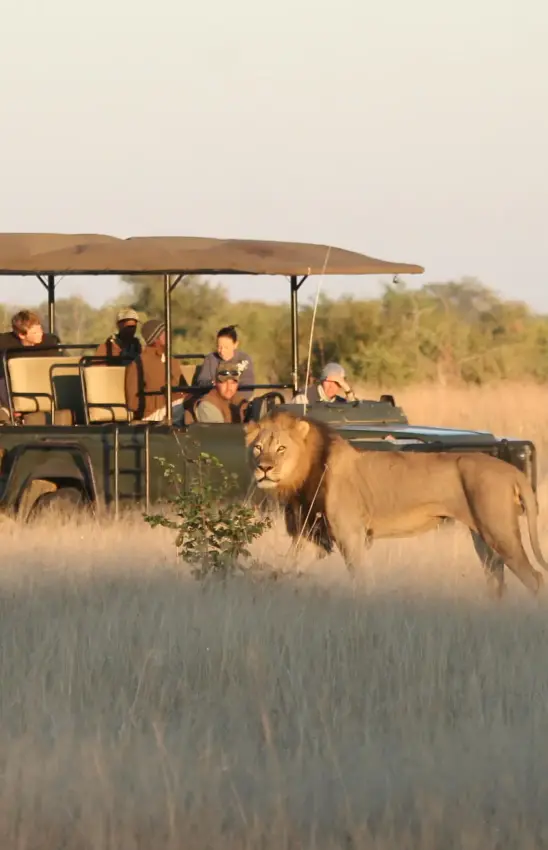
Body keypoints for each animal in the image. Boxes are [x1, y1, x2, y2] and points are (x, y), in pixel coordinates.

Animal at [244, 410, 548, 599]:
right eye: (258, 448)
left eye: (281, 448)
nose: (264, 469)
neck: (303, 475)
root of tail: (512, 470)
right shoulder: (312, 535)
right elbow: (285, 569)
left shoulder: (350, 534)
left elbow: (361, 579)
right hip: (482, 537)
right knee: (497, 580)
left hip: (500, 532)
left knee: (534, 578)